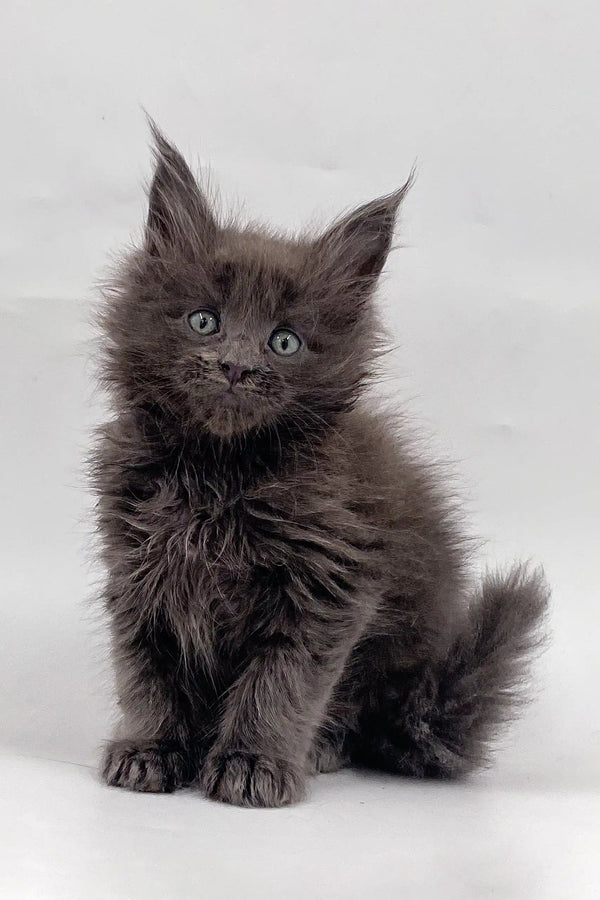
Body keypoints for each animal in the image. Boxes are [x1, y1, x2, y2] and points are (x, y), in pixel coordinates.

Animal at [94, 126, 548, 808]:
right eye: (205, 321)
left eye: (285, 341)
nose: (236, 367)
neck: (219, 473)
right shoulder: (138, 567)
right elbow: (147, 670)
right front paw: (151, 750)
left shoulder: (330, 580)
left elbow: (280, 682)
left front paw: (252, 762)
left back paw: (321, 746)